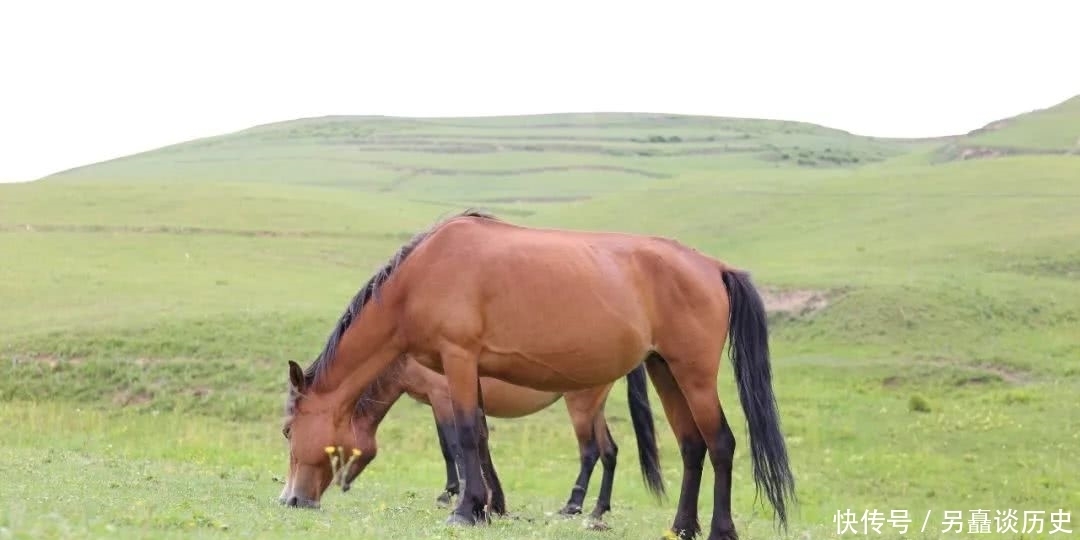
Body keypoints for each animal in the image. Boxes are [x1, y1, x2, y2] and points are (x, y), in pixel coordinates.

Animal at [313, 352, 660, 524]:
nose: (339, 482)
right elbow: (468, 445)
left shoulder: (442, 398)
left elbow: (452, 446)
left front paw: (454, 493)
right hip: (594, 407)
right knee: (610, 451)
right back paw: (599, 509)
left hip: (581, 405)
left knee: (590, 452)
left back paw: (573, 506)